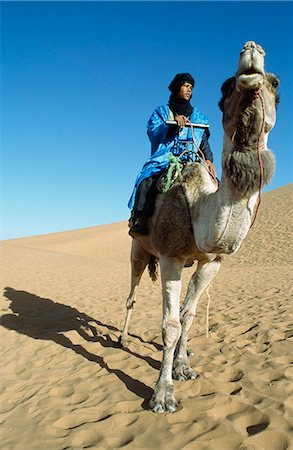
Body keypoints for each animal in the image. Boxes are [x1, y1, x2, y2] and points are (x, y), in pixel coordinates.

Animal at [120, 40, 278, 414]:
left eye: (276, 85)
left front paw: (183, 367)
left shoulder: (212, 262)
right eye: (225, 88)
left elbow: (188, 315)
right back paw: (120, 338)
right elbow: (170, 323)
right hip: (138, 249)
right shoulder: (170, 258)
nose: (251, 51)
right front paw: (163, 395)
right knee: (132, 293)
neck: (199, 208)